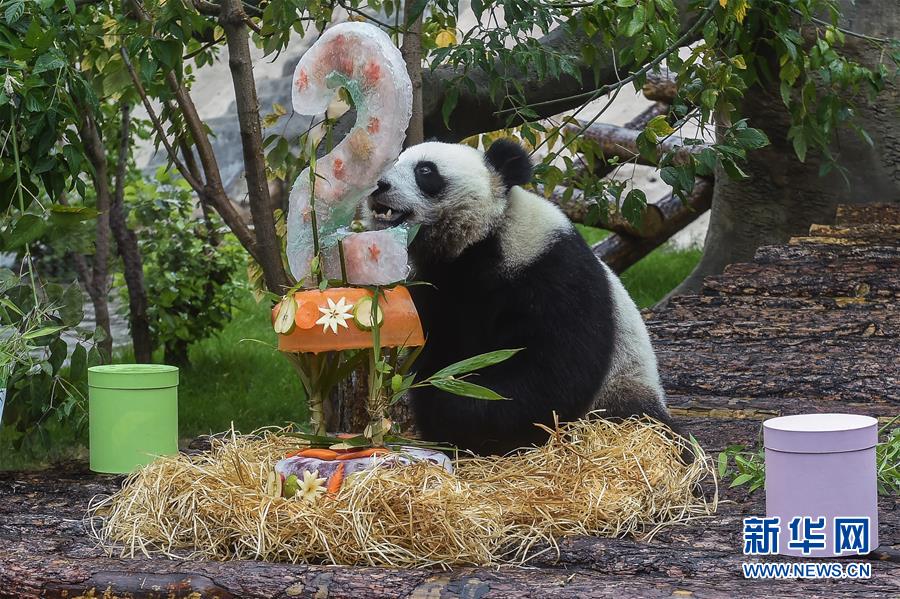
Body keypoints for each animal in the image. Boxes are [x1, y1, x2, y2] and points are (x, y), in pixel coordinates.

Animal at [364, 139, 676, 454]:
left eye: (425, 170)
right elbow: (435, 349)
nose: (378, 184)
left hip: (622, 386)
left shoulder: (549, 268)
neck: (478, 243)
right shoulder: (436, 287)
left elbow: (551, 373)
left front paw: (458, 409)